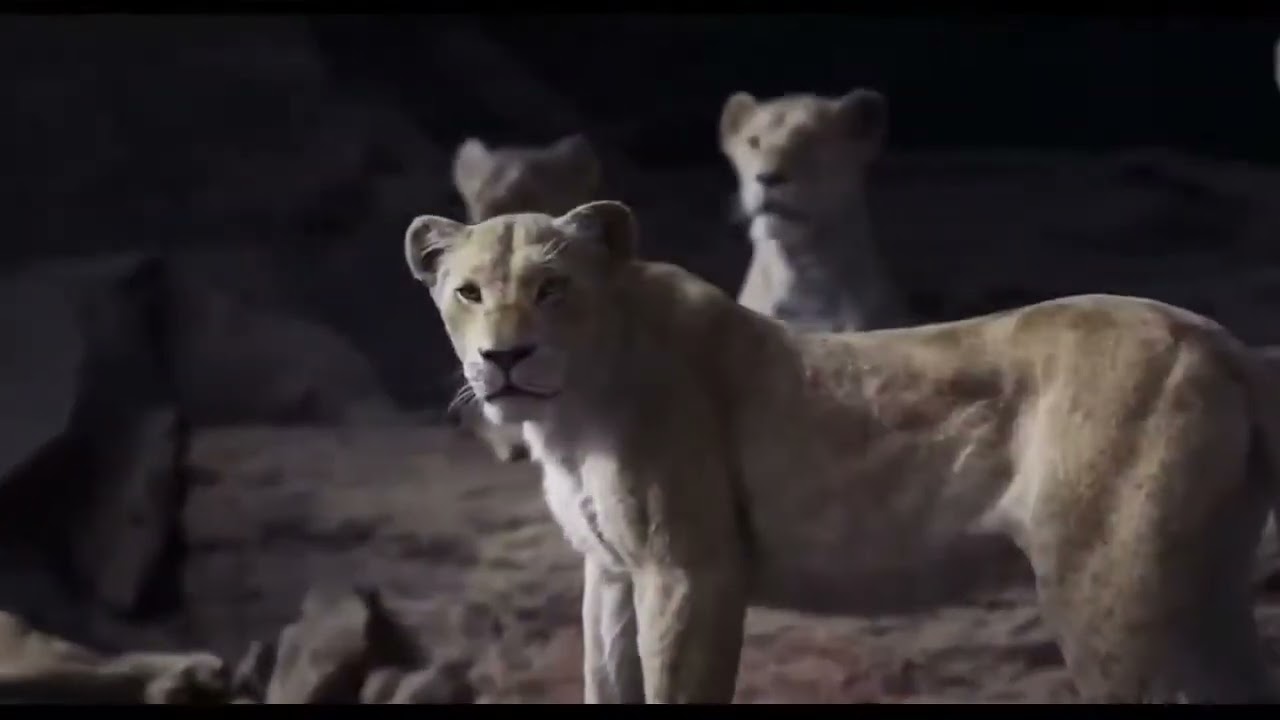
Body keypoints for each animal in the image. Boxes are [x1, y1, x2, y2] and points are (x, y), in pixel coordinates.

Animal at [403, 200, 1280, 703]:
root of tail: (1225, 342)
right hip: (1200, 584)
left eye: (552, 289)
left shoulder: (690, 570)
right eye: (468, 292)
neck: (573, 413)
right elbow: (604, 681)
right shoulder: (614, 571)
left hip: (1112, 589)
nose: (503, 359)